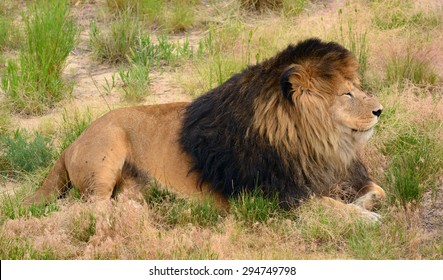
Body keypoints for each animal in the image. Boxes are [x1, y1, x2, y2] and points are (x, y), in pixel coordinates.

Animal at [23, 37, 386, 219]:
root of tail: (70, 144)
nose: (380, 110)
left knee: (122, 199)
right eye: (347, 94)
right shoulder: (270, 197)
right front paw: (363, 218)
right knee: (93, 208)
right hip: (108, 146)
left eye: (357, 87)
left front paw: (363, 205)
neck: (319, 144)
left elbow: (378, 193)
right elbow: (325, 206)